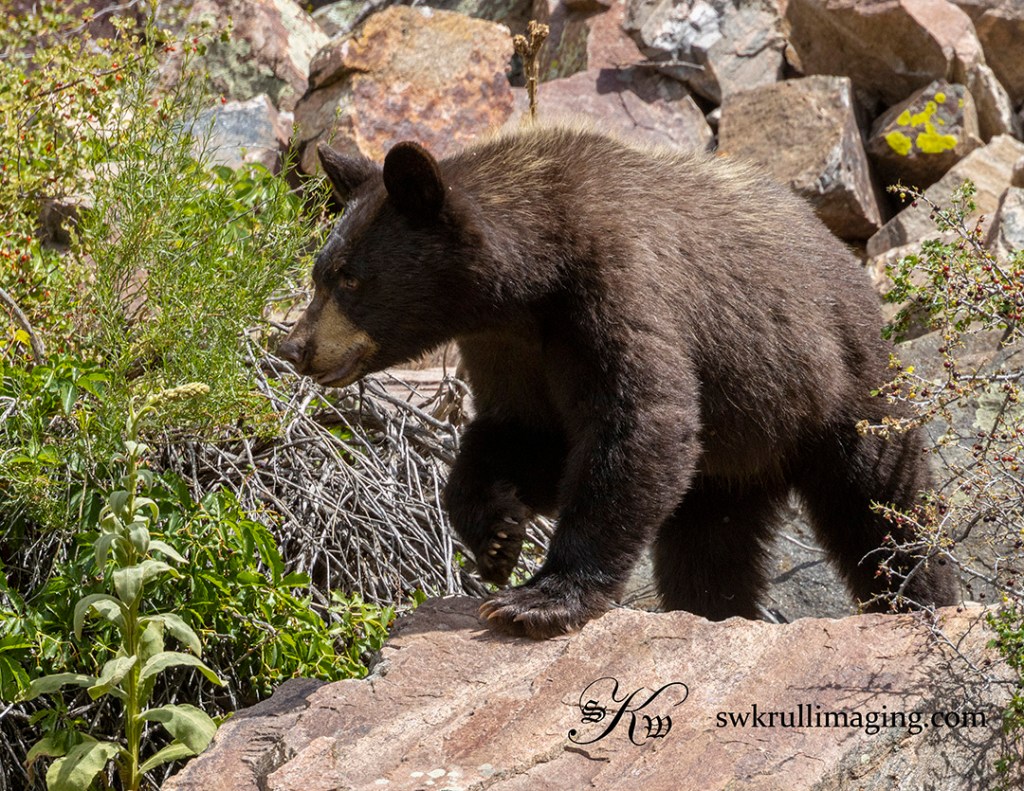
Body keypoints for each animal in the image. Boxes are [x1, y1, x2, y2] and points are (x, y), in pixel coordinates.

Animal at [278, 124, 958, 639]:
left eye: (349, 277)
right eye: (320, 271)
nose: (295, 347)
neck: (531, 280)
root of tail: (850, 265)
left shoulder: (619, 290)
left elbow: (637, 426)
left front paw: (540, 599)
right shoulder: (510, 349)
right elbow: (525, 434)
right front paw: (495, 535)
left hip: (837, 384)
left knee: (883, 501)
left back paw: (922, 596)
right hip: (732, 459)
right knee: (708, 548)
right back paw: (715, 612)